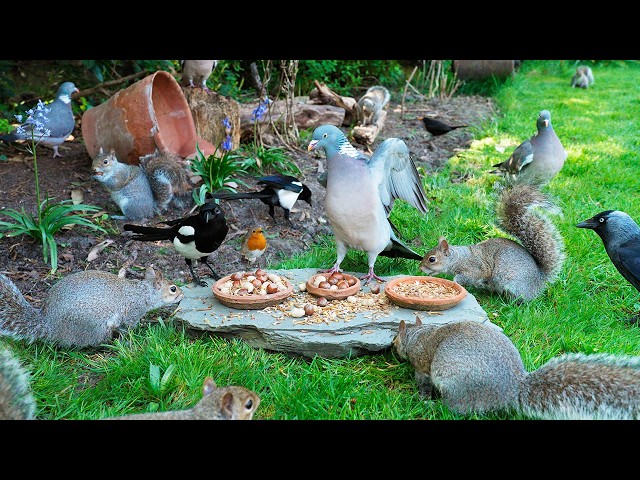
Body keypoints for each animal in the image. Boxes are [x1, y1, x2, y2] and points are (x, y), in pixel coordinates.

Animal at [0, 267, 184, 349]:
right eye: (173, 288)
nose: (182, 295)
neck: (143, 292)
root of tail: (50, 325)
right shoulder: (133, 311)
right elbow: (129, 327)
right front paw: (134, 335)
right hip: (94, 326)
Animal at [393, 317, 640, 420]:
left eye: (395, 339)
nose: (393, 347)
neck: (418, 335)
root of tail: (513, 388)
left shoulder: (421, 366)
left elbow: (423, 383)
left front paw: (421, 398)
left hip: (457, 385)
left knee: (455, 408)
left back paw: (435, 407)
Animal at [419, 183, 565, 302]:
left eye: (432, 259)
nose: (420, 268)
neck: (457, 258)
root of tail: (539, 280)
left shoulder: (474, 269)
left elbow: (467, 277)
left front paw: (455, 282)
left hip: (513, 282)